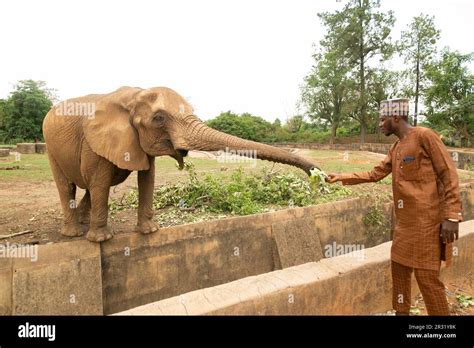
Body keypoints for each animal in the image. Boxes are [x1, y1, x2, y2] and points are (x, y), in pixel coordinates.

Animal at [42, 86, 320, 242]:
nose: (318, 174)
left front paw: (149, 232)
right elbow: (100, 181)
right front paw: (101, 240)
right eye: (158, 118)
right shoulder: (94, 142)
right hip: (50, 147)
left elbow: (148, 178)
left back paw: (82, 223)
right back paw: (74, 233)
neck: (132, 95)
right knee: (68, 186)